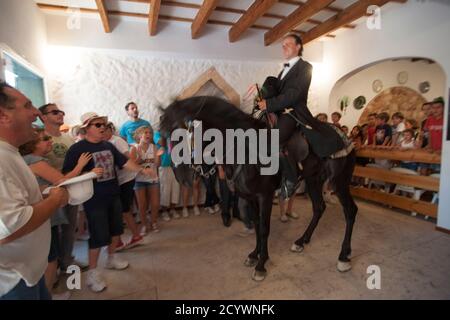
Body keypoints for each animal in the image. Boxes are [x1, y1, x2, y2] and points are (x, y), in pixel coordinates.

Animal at [160, 96, 356, 282]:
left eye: (182, 131)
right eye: (163, 136)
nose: (182, 177)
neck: (244, 150)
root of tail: (346, 138)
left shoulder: (265, 196)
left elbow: (263, 228)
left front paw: (261, 265)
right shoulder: (251, 197)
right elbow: (256, 224)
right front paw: (255, 255)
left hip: (339, 182)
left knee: (350, 210)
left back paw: (343, 256)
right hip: (313, 180)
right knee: (319, 208)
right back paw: (302, 241)